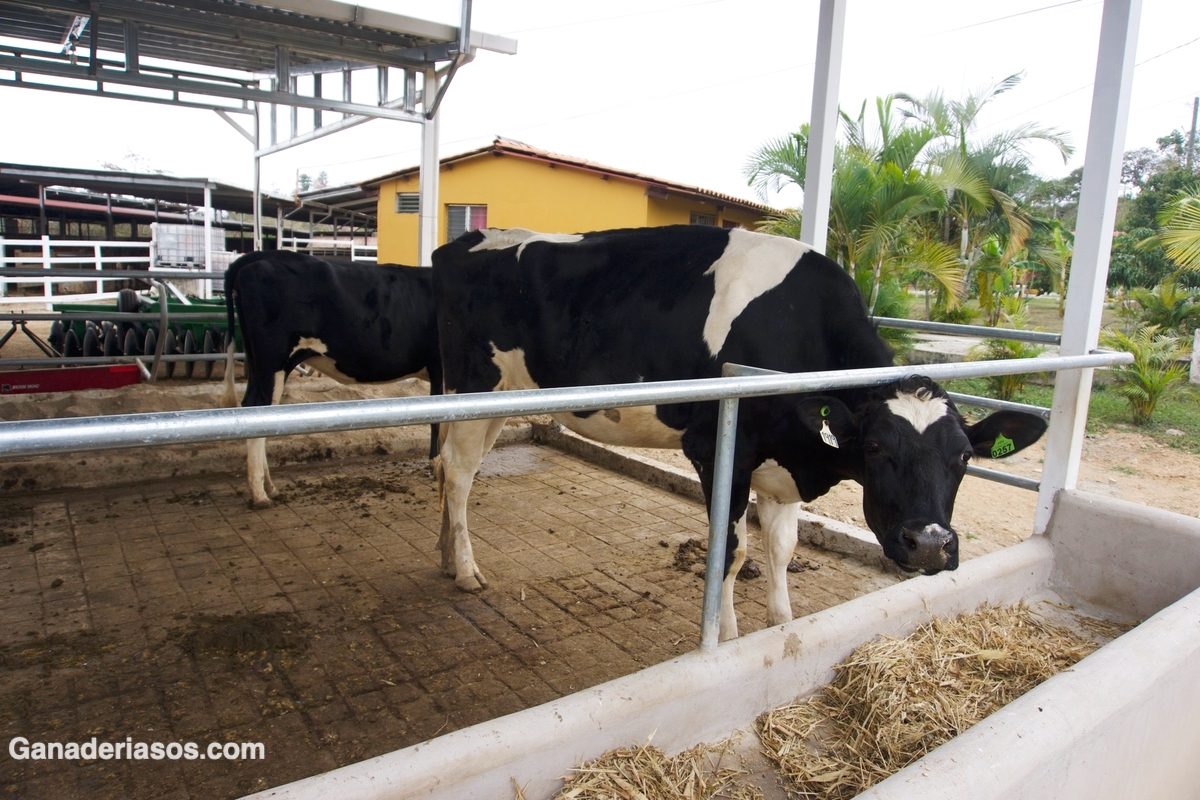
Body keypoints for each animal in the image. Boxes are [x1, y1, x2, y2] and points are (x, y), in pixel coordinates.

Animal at [222, 251, 441, 506]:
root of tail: (265, 255)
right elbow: (439, 422)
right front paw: (439, 465)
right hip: (272, 360)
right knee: (258, 406)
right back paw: (260, 494)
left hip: (258, 363)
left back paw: (270, 487)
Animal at [429, 225, 1041, 638]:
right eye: (874, 447)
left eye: (964, 458)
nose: (932, 546)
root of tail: (464, 242)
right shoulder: (716, 449)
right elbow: (732, 548)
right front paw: (724, 637)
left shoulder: (786, 461)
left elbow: (781, 548)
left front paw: (781, 625)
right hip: (475, 386)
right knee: (457, 474)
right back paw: (467, 572)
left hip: (496, 398)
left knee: (451, 469)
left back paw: (445, 555)